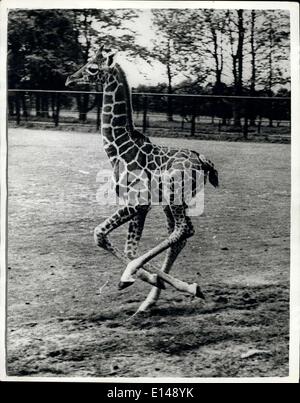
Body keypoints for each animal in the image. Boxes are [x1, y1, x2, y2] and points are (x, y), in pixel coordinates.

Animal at [67, 46, 219, 312]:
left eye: (93, 69)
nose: (69, 79)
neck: (119, 150)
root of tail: (202, 161)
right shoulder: (141, 207)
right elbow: (128, 249)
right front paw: (152, 279)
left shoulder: (138, 203)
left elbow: (100, 234)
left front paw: (130, 277)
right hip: (171, 203)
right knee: (179, 235)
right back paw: (154, 300)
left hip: (174, 196)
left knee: (183, 229)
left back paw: (178, 289)